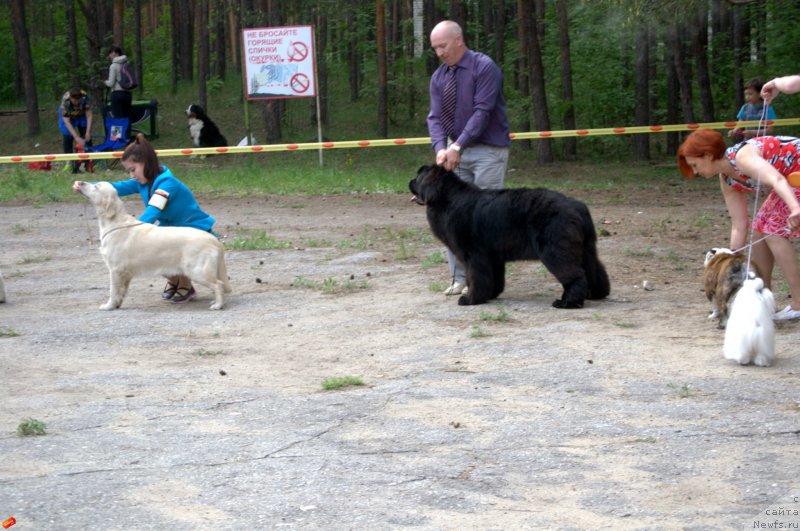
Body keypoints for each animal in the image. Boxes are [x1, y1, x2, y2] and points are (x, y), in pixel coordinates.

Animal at [77, 181, 230, 310]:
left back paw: (218, 305)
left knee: (219, 284)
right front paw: (117, 304)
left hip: (197, 271)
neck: (115, 222)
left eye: (96, 186)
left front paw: (108, 306)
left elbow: (113, 290)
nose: (80, 183)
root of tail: (214, 240)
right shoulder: (125, 273)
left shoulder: (115, 269)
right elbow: (121, 291)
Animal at [410, 166, 608, 308]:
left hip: (555, 251)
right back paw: (596, 294)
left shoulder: (474, 255)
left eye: (418, 176)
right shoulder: (493, 256)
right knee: (596, 269)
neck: (447, 199)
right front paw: (489, 295)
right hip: (585, 248)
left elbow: (475, 277)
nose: (410, 181)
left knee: (575, 275)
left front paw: (471, 299)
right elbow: (494, 279)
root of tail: (576, 205)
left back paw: (567, 302)